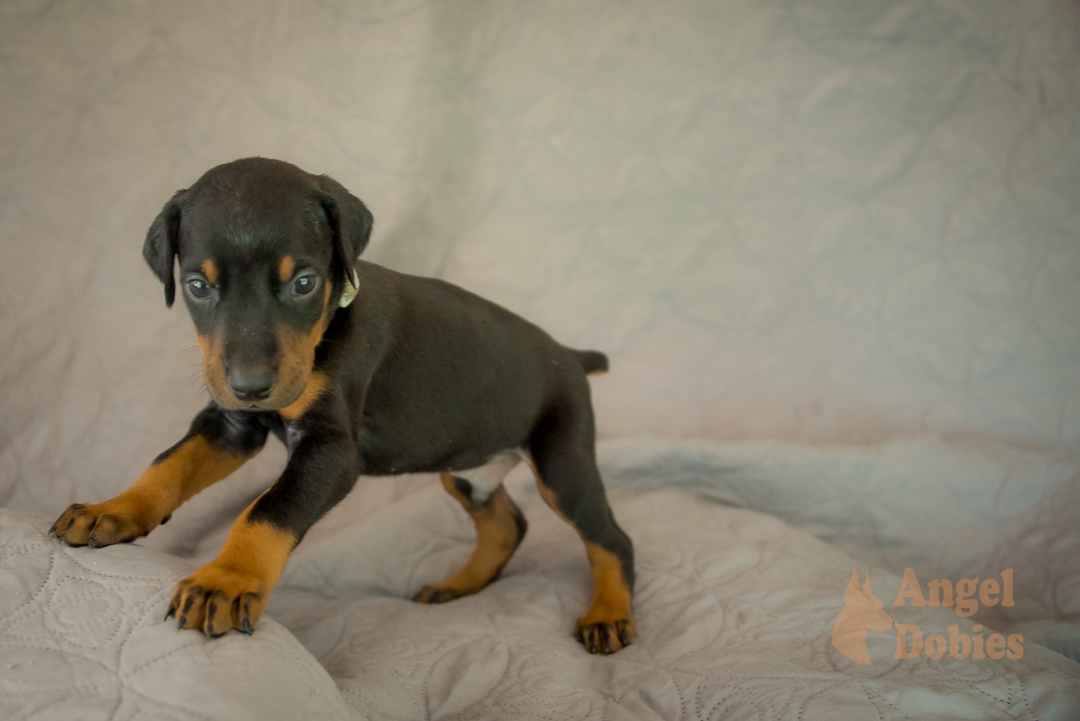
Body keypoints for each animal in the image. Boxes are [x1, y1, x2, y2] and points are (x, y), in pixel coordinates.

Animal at [50, 157, 635, 651]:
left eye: (304, 282)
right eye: (197, 285)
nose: (250, 386)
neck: (330, 323)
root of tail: (569, 355)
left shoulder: (330, 452)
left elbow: (269, 510)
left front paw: (226, 580)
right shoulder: (231, 426)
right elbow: (168, 465)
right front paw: (114, 510)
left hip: (562, 463)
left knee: (611, 538)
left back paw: (607, 615)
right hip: (470, 468)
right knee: (506, 523)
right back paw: (457, 587)